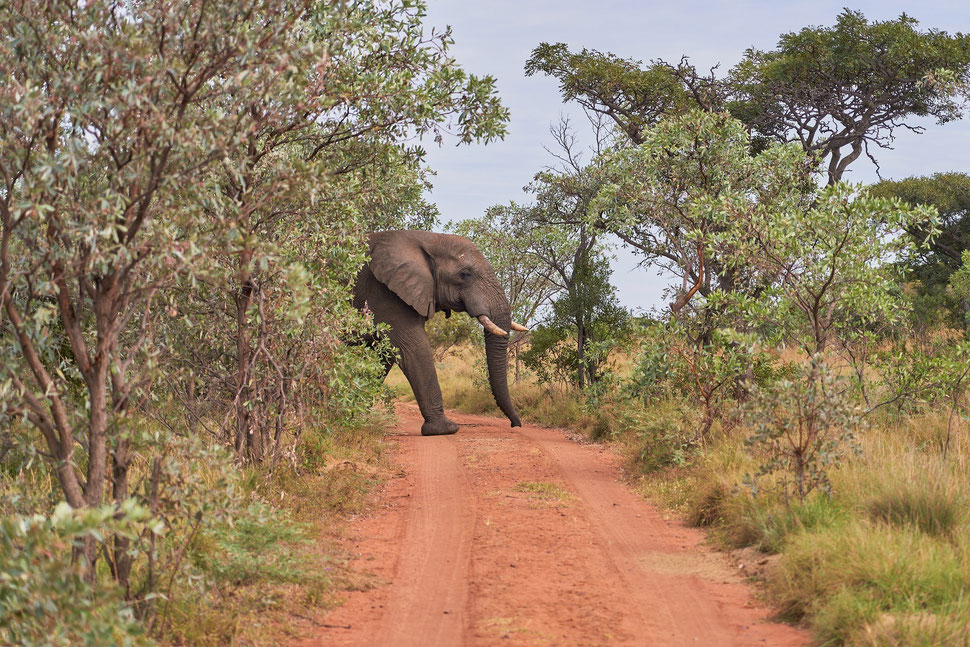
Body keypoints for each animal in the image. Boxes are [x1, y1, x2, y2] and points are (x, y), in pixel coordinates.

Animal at [353, 230, 527, 436]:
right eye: (465, 274)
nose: (516, 425)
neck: (428, 238)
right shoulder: (386, 293)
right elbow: (414, 350)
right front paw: (445, 429)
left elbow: (385, 355)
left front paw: (357, 416)